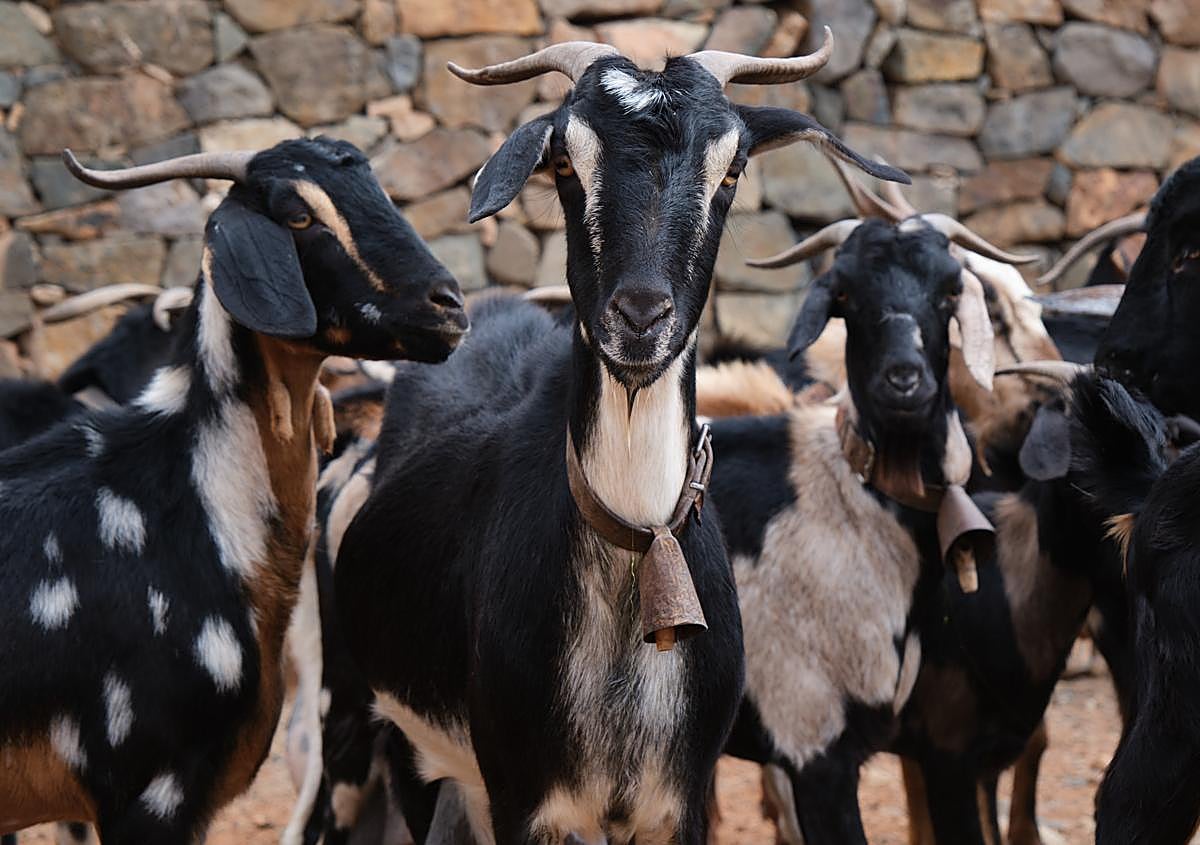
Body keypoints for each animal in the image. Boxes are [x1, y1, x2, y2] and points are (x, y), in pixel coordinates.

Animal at [333, 36, 909, 844]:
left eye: (733, 168)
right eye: (564, 163)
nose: (640, 316)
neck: (637, 540)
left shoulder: (681, 799)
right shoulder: (522, 798)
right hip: (414, 749)